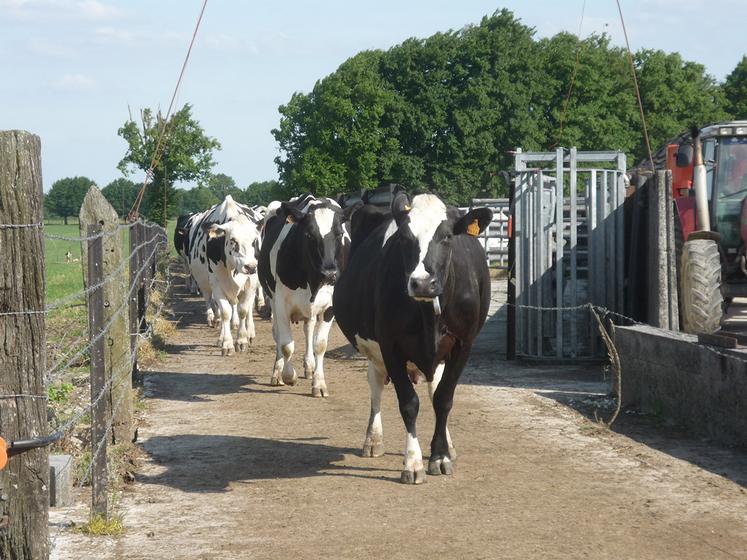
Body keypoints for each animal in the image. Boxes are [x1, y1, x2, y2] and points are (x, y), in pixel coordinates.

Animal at [180, 196, 262, 354]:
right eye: (233, 240)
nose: (250, 267)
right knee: (210, 301)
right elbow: (225, 312)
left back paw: (249, 332)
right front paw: (227, 343)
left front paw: (242, 340)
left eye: (254, 241)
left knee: (246, 308)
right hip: (204, 283)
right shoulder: (216, 283)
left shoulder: (250, 283)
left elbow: (243, 310)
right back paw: (216, 325)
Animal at [258, 195, 360, 396]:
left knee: (309, 329)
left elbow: (320, 344)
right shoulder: (281, 303)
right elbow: (286, 345)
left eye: (339, 234)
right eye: (309, 235)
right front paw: (288, 375)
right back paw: (277, 372)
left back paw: (310, 366)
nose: (330, 273)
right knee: (278, 335)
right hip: (272, 299)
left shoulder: (330, 305)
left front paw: (319, 383)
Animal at [336, 191, 494, 482]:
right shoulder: (390, 346)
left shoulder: (463, 344)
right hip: (374, 351)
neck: (428, 315)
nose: (422, 283)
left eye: (447, 236)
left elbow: (443, 399)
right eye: (404, 237)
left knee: (435, 389)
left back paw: (448, 445)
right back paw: (373, 440)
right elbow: (409, 403)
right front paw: (413, 462)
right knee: (376, 385)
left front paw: (440, 456)